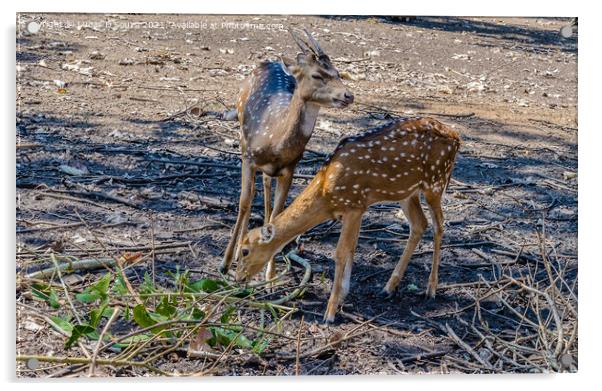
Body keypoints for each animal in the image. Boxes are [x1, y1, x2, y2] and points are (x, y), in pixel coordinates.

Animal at [219, 29, 352, 280]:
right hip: (242, 136)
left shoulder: (290, 169)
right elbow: (243, 202)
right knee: (253, 193)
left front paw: (270, 277)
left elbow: (277, 214)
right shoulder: (248, 157)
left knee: (266, 185)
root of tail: (270, 62)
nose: (348, 95)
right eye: (317, 75)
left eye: (338, 73)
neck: (275, 141)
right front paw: (226, 262)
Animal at [232, 117, 458, 324]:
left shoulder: (353, 206)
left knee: (439, 225)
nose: (238, 278)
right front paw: (342, 296)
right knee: (419, 224)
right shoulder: (358, 208)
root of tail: (456, 137)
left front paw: (330, 312)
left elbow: (340, 252)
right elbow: (352, 247)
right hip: (406, 192)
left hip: (436, 181)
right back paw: (388, 287)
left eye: (245, 251)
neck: (327, 192)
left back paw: (431, 289)